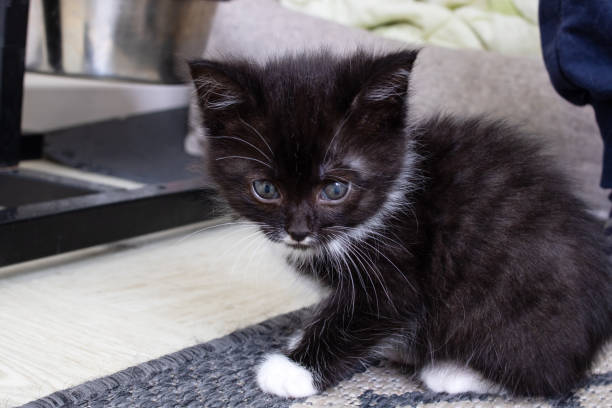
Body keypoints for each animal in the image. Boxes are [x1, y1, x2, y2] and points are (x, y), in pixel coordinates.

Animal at [189, 51, 608, 398]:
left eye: (335, 189)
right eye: (265, 189)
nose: (298, 231)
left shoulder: (400, 265)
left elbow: (367, 314)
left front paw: (293, 370)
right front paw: (300, 337)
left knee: (546, 376)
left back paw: (454, 372)